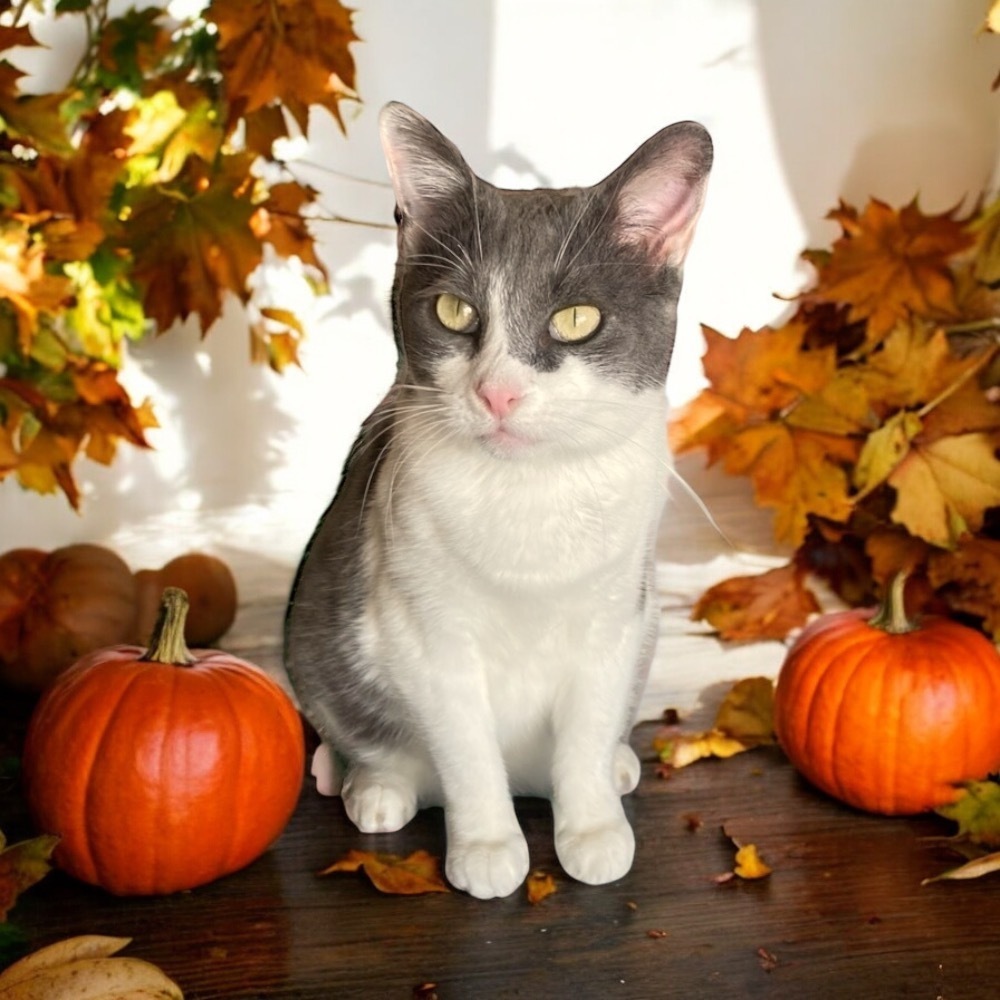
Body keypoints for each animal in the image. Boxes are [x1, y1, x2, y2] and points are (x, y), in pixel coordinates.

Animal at [282, 101, 712, 900]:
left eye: (576, 319)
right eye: (454, 310)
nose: (498, 391)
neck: (528, 496)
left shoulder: (613, 623)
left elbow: (583, 733)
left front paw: (592, 829)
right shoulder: (426, 636)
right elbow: (467, 748)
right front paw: (485, 845)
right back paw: (369, 782)